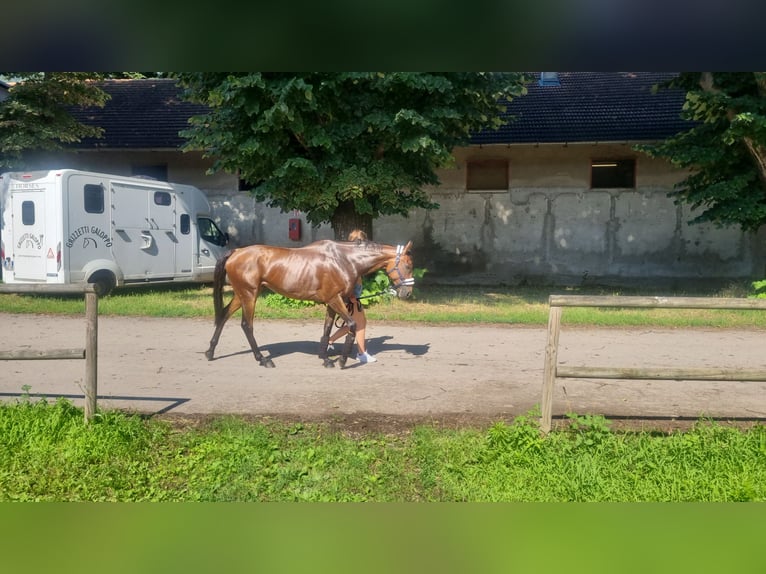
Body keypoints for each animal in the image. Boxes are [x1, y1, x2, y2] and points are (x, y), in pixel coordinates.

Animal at [204, 240, 414, 368]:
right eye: (408, 265)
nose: (407, 292)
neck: (344, 259)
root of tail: (236, 252)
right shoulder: (335, 299)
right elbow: (352, 325)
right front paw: (342, 361)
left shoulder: (331, 303)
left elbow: (327, 330)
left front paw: (325, 358)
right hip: (249, 295)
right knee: (246, 325)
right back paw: (263, 359)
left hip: (242, 294)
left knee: (223, 316)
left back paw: (210, 351)